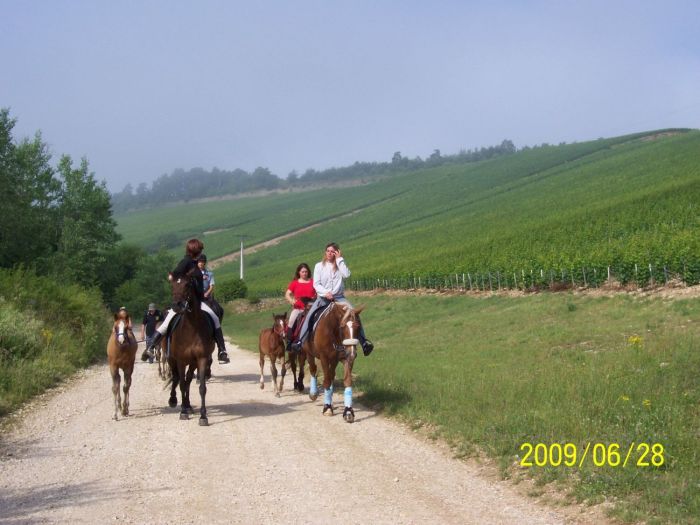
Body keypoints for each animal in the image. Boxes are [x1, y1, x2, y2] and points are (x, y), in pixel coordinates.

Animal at [167, 268, 216, 424]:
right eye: (172, 285)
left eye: (187, 285)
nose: (177, 306)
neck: (191, 328)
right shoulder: (181, 360)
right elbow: (182, 384)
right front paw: (182, 412)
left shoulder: (201, 359)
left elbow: (201, 388)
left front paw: (203, 416)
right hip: (172, 360)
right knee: (177, 378)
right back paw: (174, 401)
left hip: (193, 363)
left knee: (188, 380)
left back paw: (188, 405)